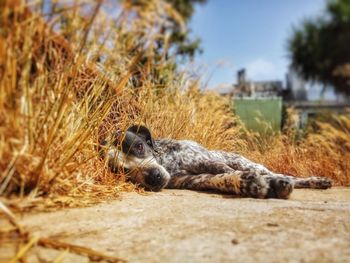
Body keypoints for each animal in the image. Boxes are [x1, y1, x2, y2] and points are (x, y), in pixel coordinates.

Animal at [103, 126, 330, 200]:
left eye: (139, 146)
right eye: (123, 172)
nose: (154, 178)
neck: (168, 163)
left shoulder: (206, 162)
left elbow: (225, 170)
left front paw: (259, 182)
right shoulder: (195, 179)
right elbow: (223, 178)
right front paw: (249, 184)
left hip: (248, 163)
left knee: (283, 175)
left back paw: (315, 181)